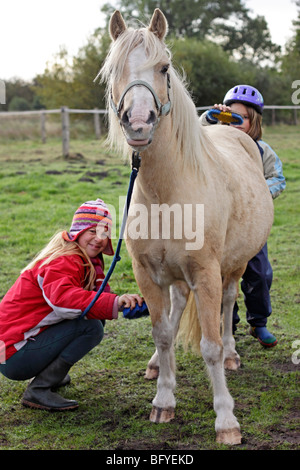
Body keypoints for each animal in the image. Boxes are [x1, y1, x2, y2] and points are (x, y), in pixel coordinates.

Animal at [99, 10, 274, 444]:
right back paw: (155, 365)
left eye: (163, 67)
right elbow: (162, 334)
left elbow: (210, 344)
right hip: (175, 276)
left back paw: (232, 355)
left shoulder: (206, 274)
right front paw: (164, 400)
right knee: (177, 308)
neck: (168, 192)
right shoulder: (148, 274)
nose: (138, 122)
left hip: (233, 266)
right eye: (114, 70)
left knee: (228, 305)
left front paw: (226, 420)